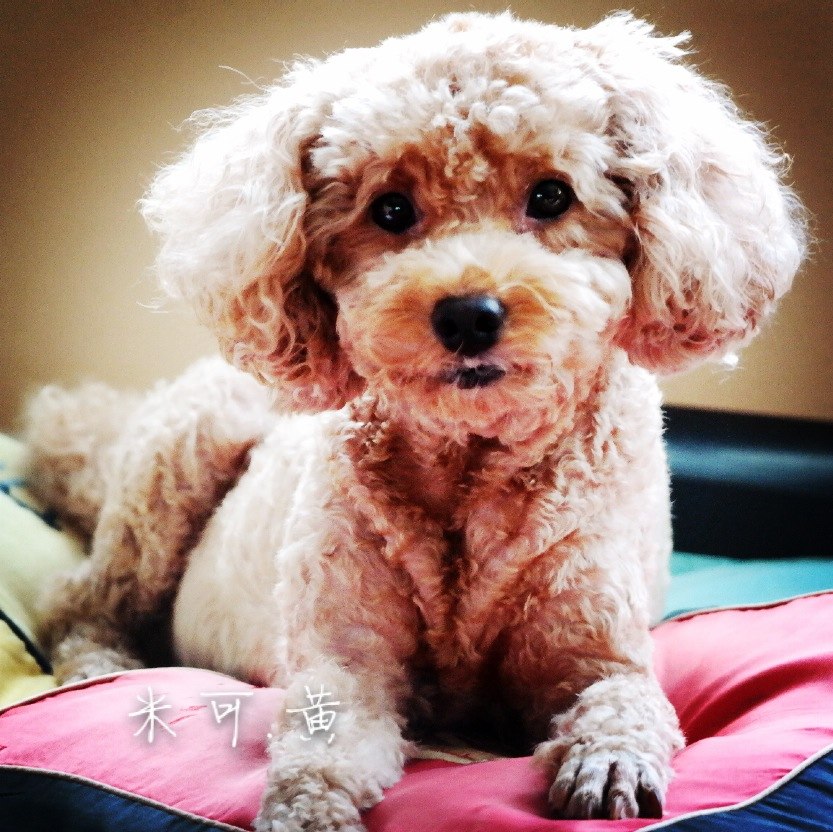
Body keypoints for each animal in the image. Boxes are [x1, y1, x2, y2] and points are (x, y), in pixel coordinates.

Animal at [25, 11, 806, 831]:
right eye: (391, 210)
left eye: (552, 196)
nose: (469, 315)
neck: (471, 458)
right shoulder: (345, 660)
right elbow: (318, 755)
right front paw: (306, 814)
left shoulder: (596, 650)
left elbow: (621, 705)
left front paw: (609, 768)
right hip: (179, 460)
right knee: (81, 602)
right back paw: (100, 670)